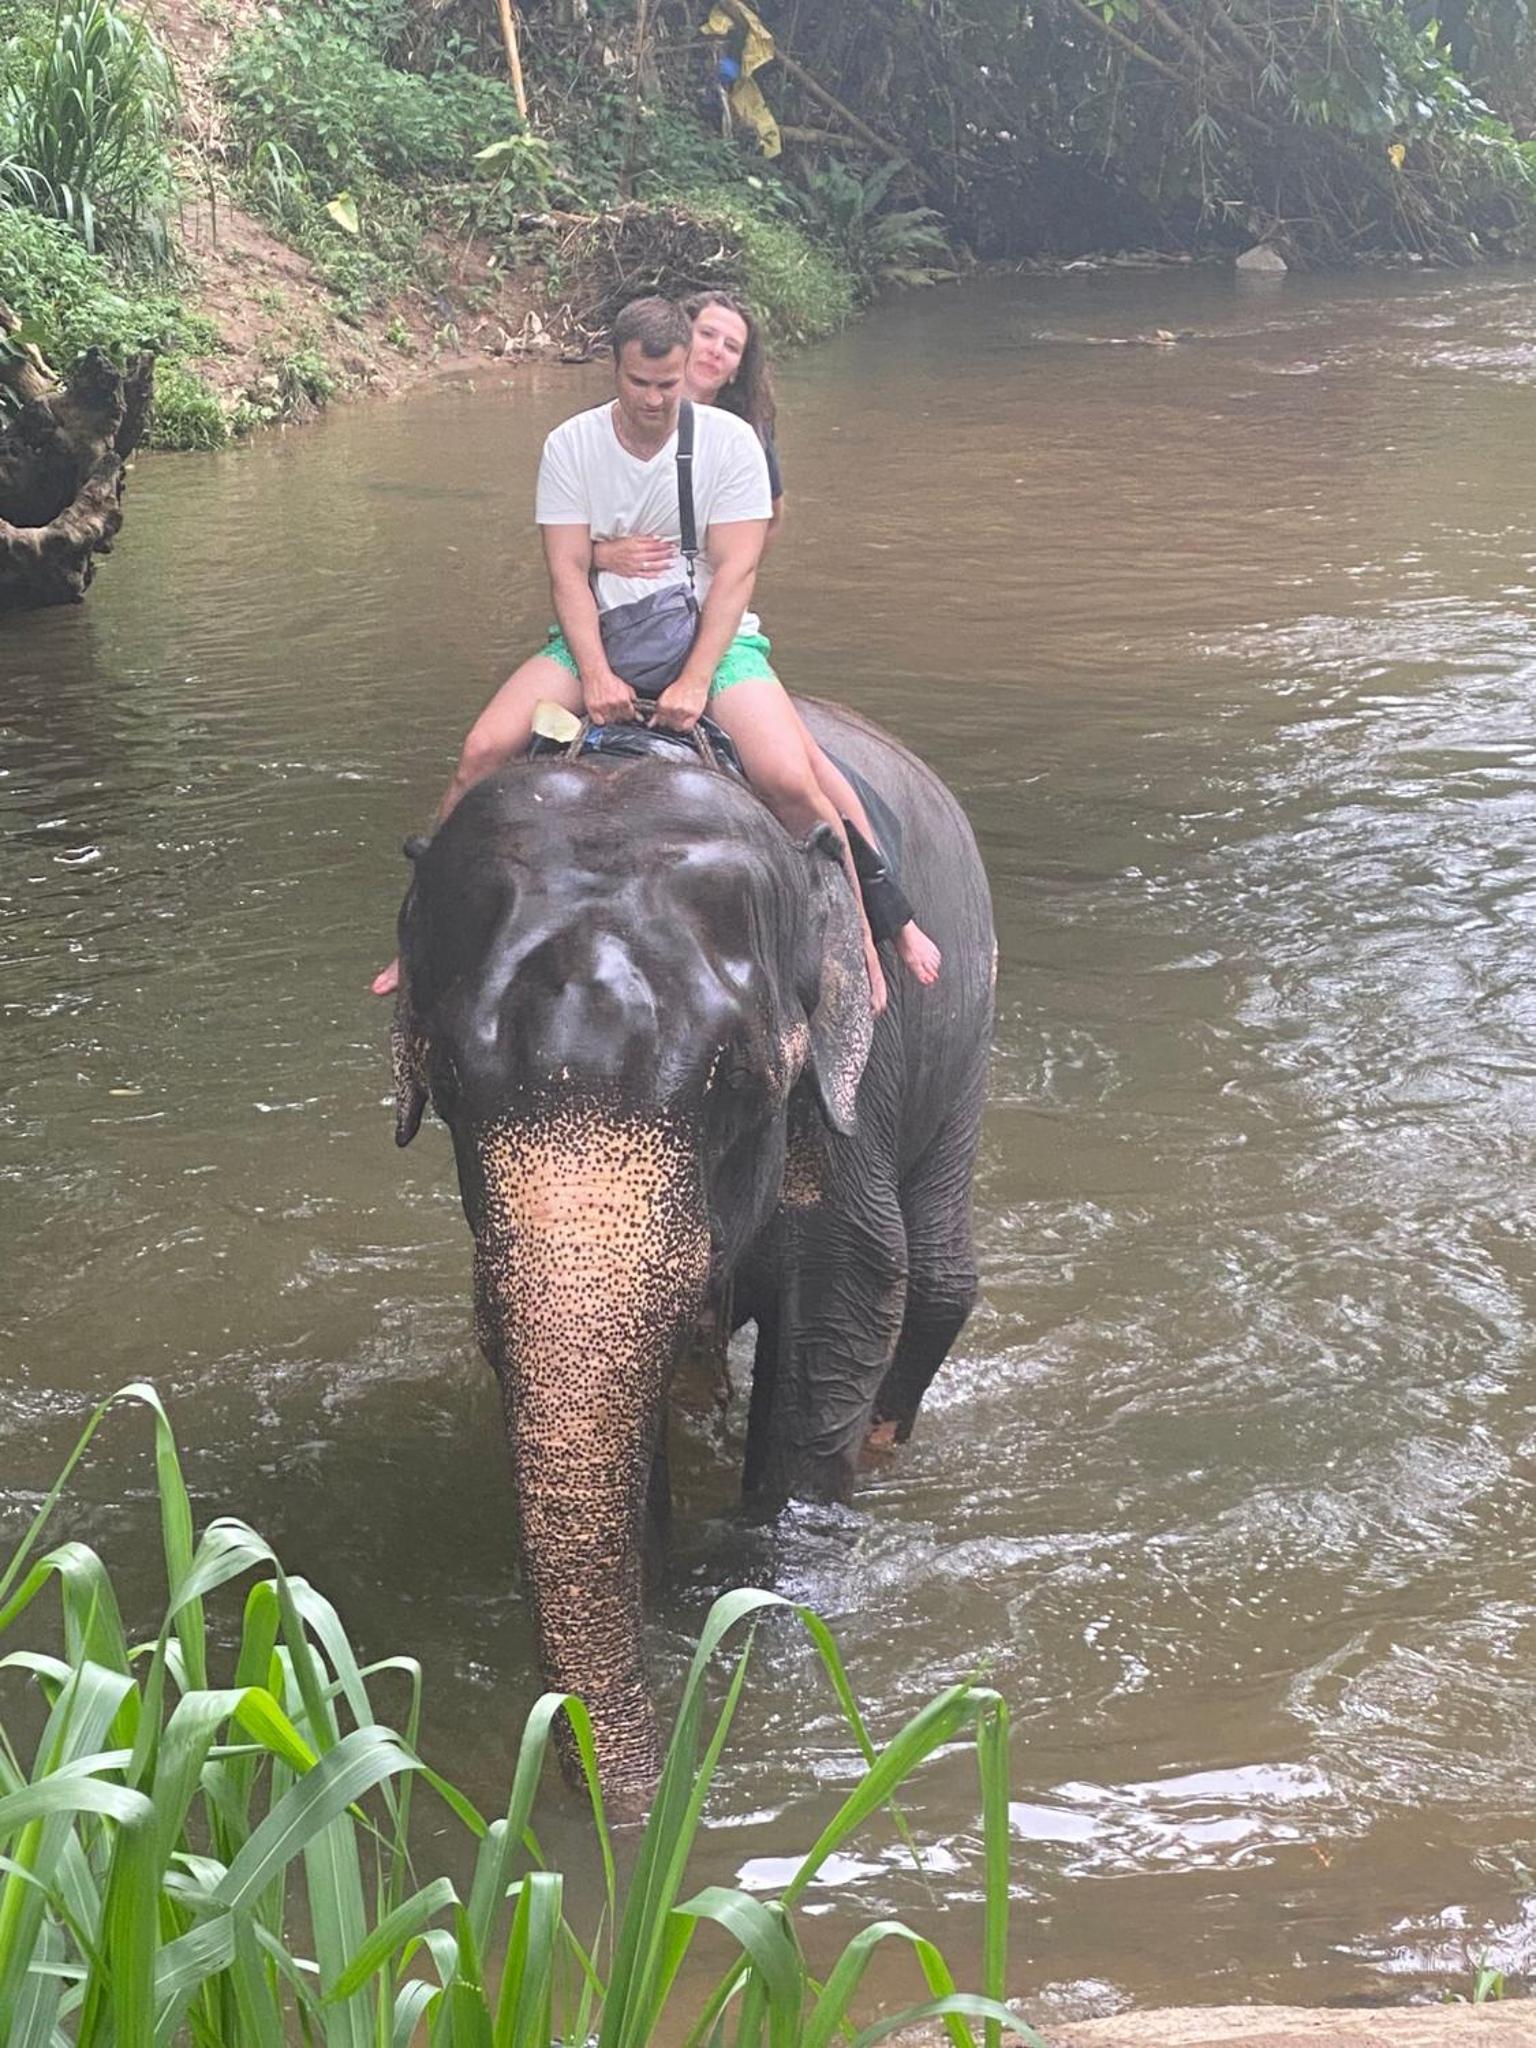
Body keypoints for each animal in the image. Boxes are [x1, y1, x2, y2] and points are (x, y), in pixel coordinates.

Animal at [389, 699, 994, 1809]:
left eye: (740, 1078)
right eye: (445, 1081)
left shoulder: (852, 1087)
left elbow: (847, 1297)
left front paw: (763, 1588)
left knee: (934, 1276)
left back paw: (887, 1439)